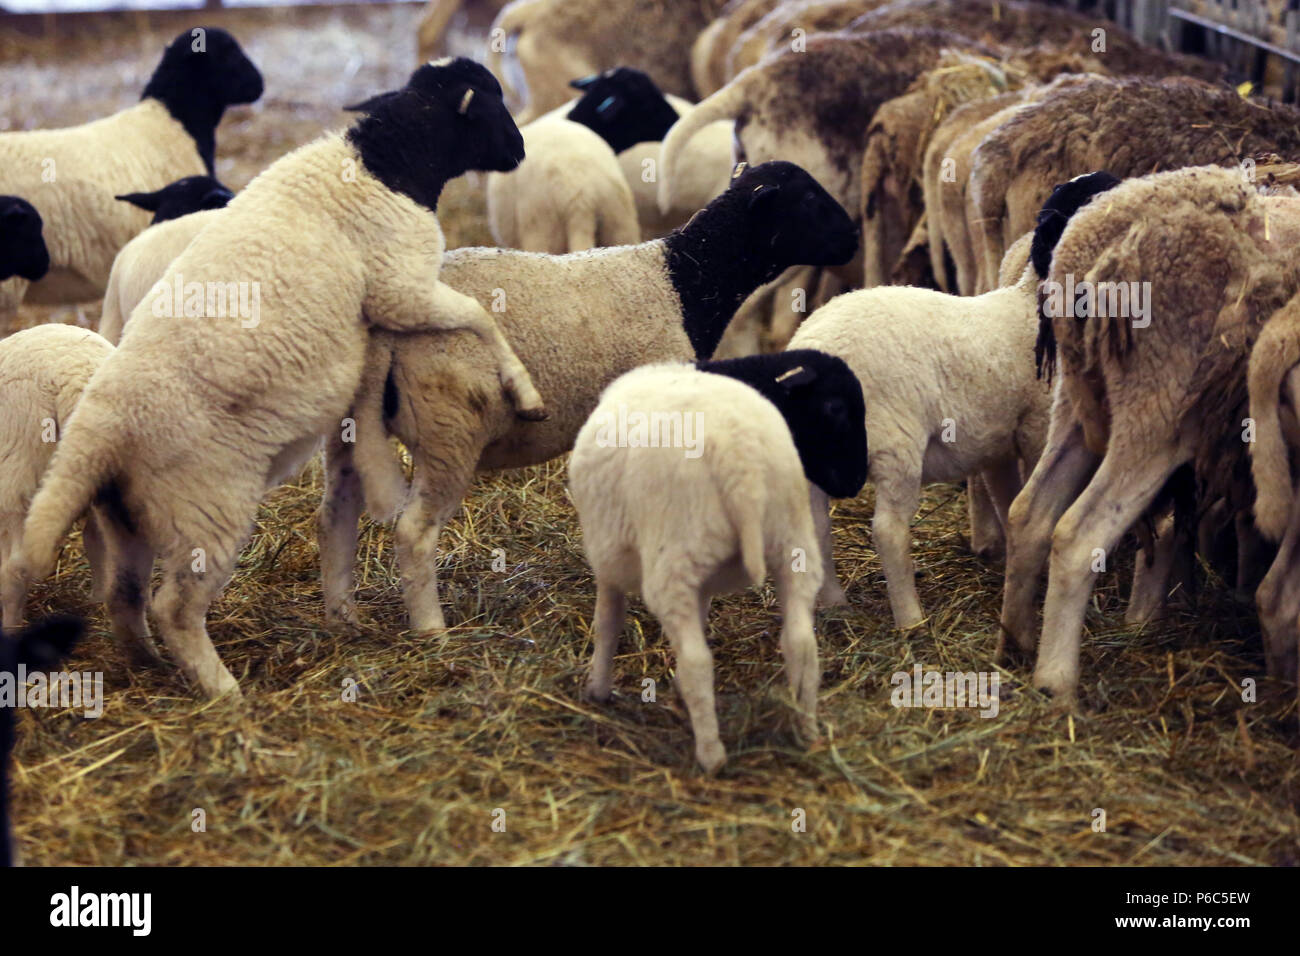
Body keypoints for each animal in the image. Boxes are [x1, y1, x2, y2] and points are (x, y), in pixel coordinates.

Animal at [16, 59, 547, 700]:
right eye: (493, 100)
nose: (521, 150)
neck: (388, 164)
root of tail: (100, 431)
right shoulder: (401, 289)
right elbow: (478, 315)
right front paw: (525, 390)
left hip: (129, 517)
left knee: (125, 595)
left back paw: (151, 667)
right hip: (206, 508)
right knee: (174, 607)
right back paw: (224, 691)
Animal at [317, 161, 859, 635]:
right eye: (809, 200)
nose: (854, 238)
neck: (684, 281)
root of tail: (386, 329)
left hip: (350, 430)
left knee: (335, 516)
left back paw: (343, 615)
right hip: (449, 428)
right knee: (413, 531)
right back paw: (431, 629)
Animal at [569, 349, 867, 772]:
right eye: (835, 407)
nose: (857, 481)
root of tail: (741, 466)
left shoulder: (607, 558)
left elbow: (606, 625)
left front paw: (597, 689)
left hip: (673, 558)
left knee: (697, 661)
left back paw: (711, 755)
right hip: (792, 546)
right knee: (801, 643)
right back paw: (806, 730)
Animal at [787, 172, 1119, 628]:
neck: (1030, 305)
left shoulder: (998, 444)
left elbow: (1008, 501)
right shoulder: (1036, 427)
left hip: (814, 458)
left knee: (818, 527)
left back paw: (836, 605)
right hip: (895, 441)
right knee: (888, 531)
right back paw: (911, 619)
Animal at [999, 166, 1300, 703]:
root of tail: (1100, 248)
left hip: (1079, 399)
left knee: (1029, 514)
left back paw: (1016, 643)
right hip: (1158, 405)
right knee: (1077, 535)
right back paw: (1057, 683)